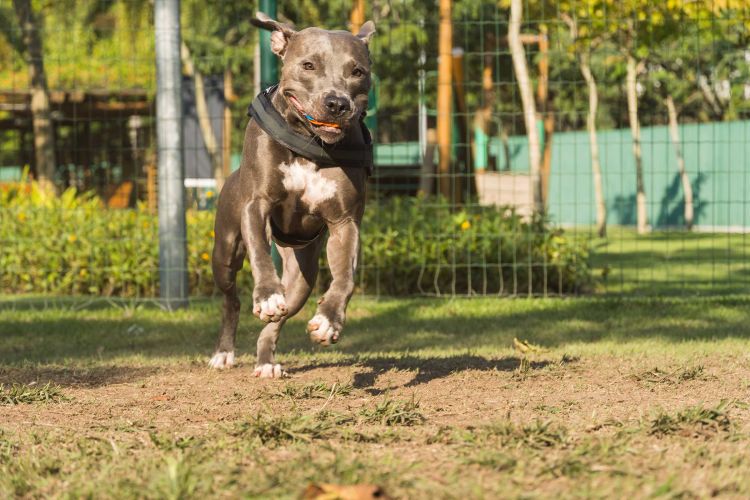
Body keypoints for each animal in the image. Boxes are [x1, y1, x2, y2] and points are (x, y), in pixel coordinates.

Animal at [209, 13, 376, 376]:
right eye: (308, 65)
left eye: (357, 71)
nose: (337, 103)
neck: (309, 143)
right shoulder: (256, 206)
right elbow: (259, 253)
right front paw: (267, 295)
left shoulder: (345, 223)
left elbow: (346, 277)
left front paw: (329, 320)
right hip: (225, 252)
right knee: (231, 299)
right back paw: (224, 352)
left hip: (301, 278)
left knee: (277, 321)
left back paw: (266, 361)